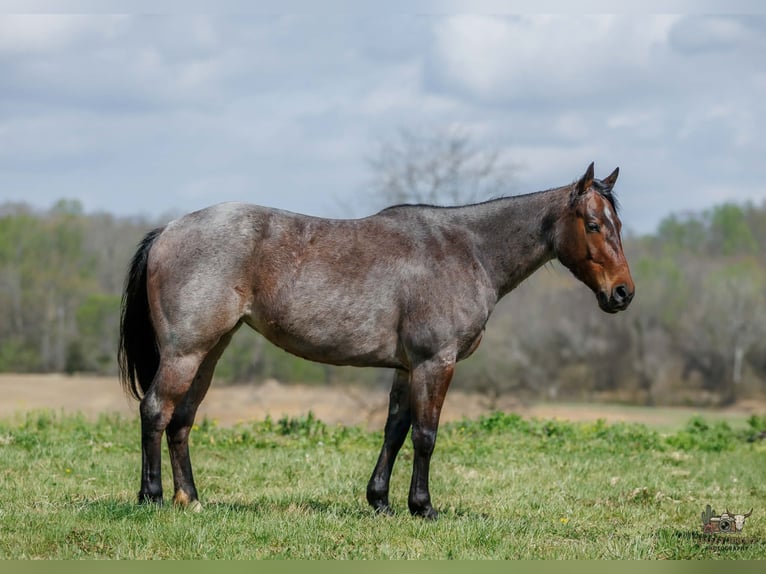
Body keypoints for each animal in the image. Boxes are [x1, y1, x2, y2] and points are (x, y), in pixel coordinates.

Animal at [118, 162, 634, 519]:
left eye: (619, 226)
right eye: (593, 225)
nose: (623, 293)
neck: (466, 249)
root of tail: (168, 230)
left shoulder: (407, 368)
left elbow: (395, 430)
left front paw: (381, 501)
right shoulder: (434, 362)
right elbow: (425, 434)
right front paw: (423, 506)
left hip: (210, 351)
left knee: (182, 419)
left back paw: (190, 498)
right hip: (185, 353)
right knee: (156, 411)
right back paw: (152, 496)